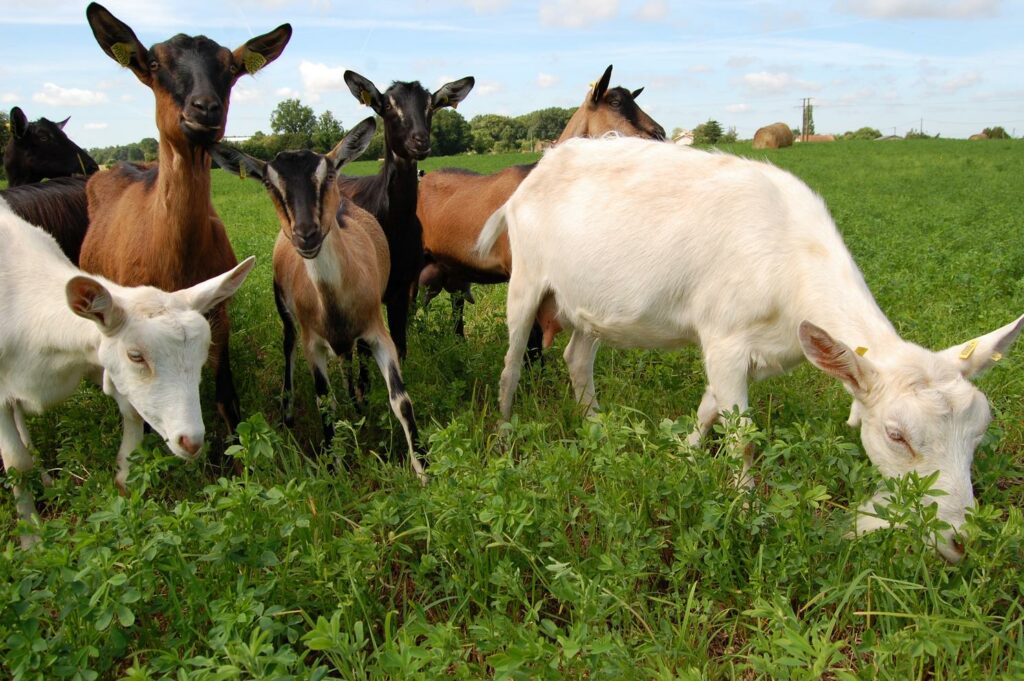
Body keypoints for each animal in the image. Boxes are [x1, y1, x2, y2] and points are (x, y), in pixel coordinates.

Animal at [0, 197, 253, 548]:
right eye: (136, 355)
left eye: (204, 354)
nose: (191, 441)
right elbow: (16, 463)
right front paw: (31, 537)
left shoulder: (98, 361)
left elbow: (131, 411)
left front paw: (123, 478)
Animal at [80, 2, 292, 446]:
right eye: (154, 64)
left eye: (230, 68)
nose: (205, 108)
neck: (175, 257)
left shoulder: (218, 312)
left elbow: (227, 399)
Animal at [479, 134, 1024, 561]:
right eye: (896, 436)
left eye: (980, 432)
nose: (961, 543)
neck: (790, 256)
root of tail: (530, 179)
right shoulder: (723, 338)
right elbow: (743, 436)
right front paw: (744, 509)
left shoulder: (762, 353)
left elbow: (710, 408)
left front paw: (684, 454)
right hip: (526, 279)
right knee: (510, 365)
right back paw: (504, 434)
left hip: (592, 303)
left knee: (577, 357)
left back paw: (598, 431)